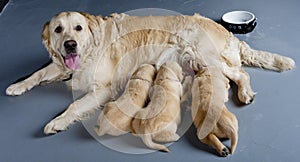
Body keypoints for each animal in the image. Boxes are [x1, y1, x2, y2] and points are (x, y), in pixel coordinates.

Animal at [5, 11, 296, 137]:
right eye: (58, 30)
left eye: (78, 28)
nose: (70, 45)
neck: (90, 48)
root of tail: (230, 34)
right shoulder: (64, 65)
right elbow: (39, 73)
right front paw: (17, 85)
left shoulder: (103, 89)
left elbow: (75, 106)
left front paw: (56, 122)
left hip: (201, 51)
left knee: (238, 74)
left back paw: (245, 93)